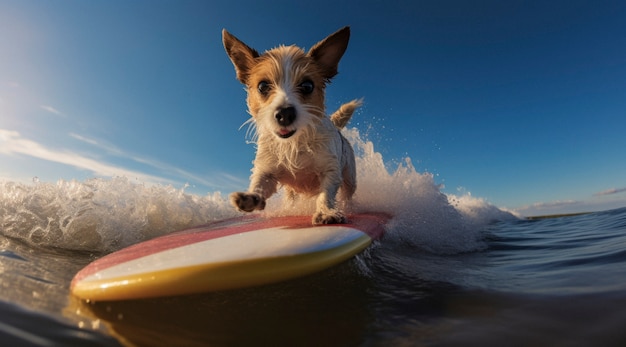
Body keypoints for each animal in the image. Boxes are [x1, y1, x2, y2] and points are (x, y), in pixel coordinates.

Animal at [221, 25, 358, 224]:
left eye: (307, 86)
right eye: (262, 86)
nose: (285, 113)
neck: (294, 144)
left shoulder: (330, 170)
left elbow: (326, 194)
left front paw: (327, 212)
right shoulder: (267, 170)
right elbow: (260, 184)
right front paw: (251, 197)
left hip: (349, 177)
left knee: (347, 193)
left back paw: (349, 207)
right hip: (290, 191)